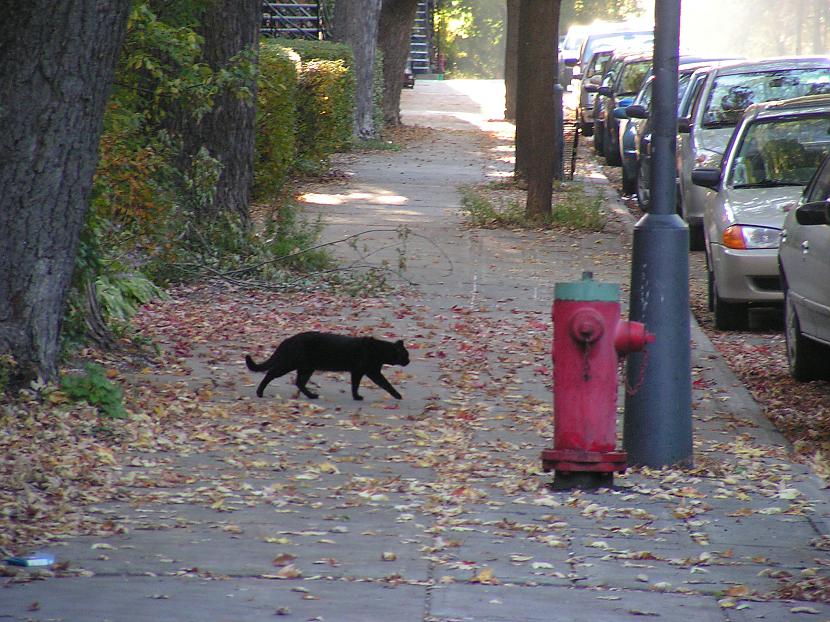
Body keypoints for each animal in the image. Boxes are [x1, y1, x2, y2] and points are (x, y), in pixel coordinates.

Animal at [245, 334, 412, 402]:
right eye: (405, 355)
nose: (409, 361)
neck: (380, 350)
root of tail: (288, 340)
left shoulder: (359, 372)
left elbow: (355, 385)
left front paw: (356, 396)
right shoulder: (370, 371)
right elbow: (385, 384)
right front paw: (398, 395)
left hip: (307, 368)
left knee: (299, 382)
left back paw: (312, 396)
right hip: (289, 364)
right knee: (270, 373)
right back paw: (259, 392)